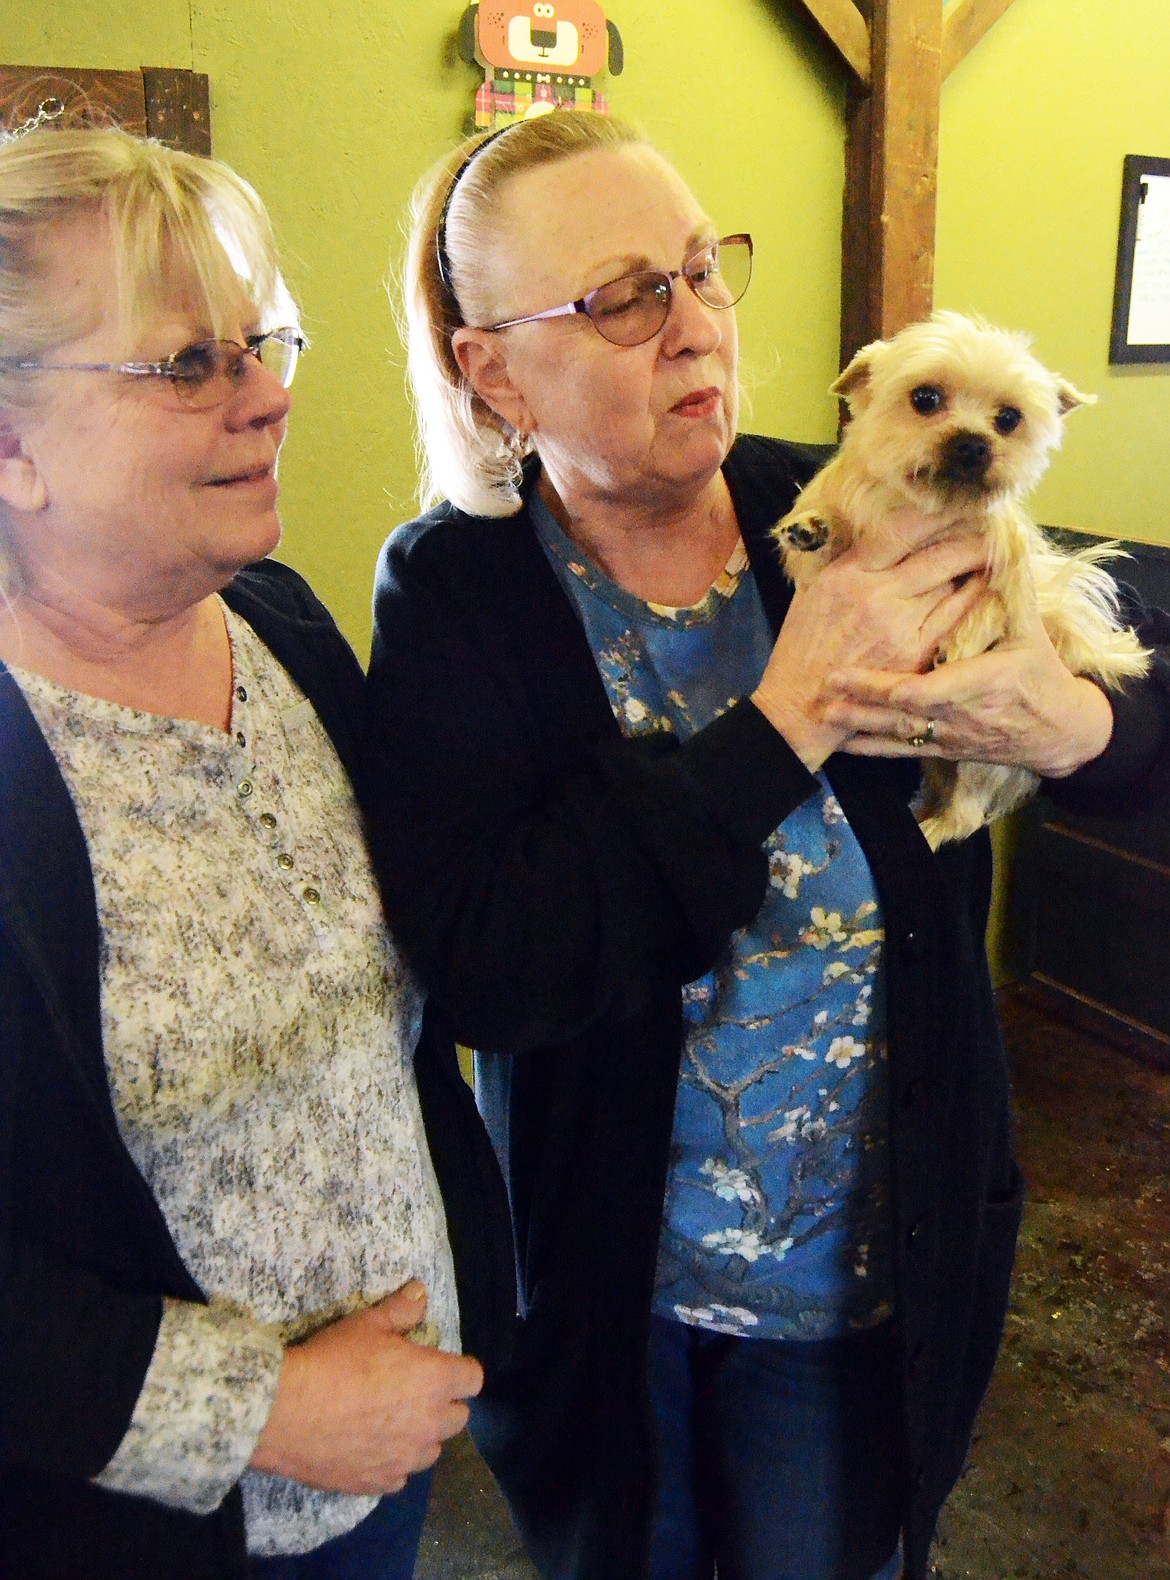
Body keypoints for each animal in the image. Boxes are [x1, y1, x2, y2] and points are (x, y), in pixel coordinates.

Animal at [770, 311, 1143, 853]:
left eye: (1008, 418)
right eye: (925, 399)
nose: (972, 442)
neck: (931, 511)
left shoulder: (1013, 573)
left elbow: (994, 598)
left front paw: (963, 641)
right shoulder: (821, 570)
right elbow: (825, 541)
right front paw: (818, 527)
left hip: (981, 756)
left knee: (966, 815)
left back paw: (929, 832)